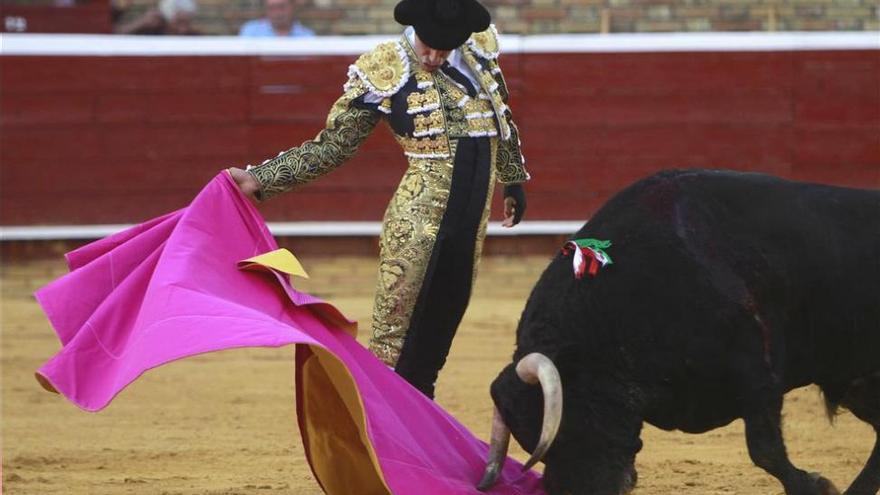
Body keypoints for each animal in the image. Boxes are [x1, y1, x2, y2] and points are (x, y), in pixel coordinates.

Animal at [482, 170, 880, 495]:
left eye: (565, 428)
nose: (568, 490)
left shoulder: (757, 372)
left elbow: (764, 449)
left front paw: (817, 486)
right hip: (857, 383)